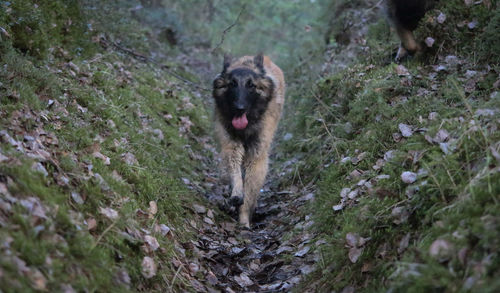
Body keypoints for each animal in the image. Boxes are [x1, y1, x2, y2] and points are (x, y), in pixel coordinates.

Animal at [213, 54, 288, 228]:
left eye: (251, 85)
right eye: (232, 83)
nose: (240, 108)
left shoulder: (257, 154)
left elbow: (250, 190)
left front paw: (244, 220)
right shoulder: (231, 146)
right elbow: (236, 173)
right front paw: (236, 193)